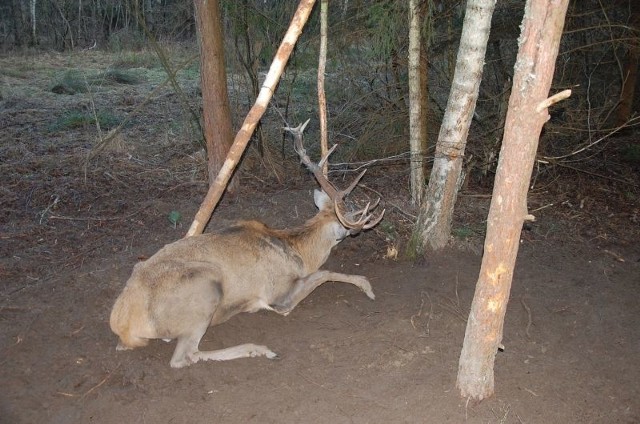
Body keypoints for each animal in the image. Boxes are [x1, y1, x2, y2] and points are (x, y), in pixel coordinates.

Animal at [109, 120, 384, 368]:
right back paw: (261, 349)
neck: (298, 252)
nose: (358, 228)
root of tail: (123, 323)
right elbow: (323, 274)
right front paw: (367, 287)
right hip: (205, 287)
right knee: (184, 356)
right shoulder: (279, 294)